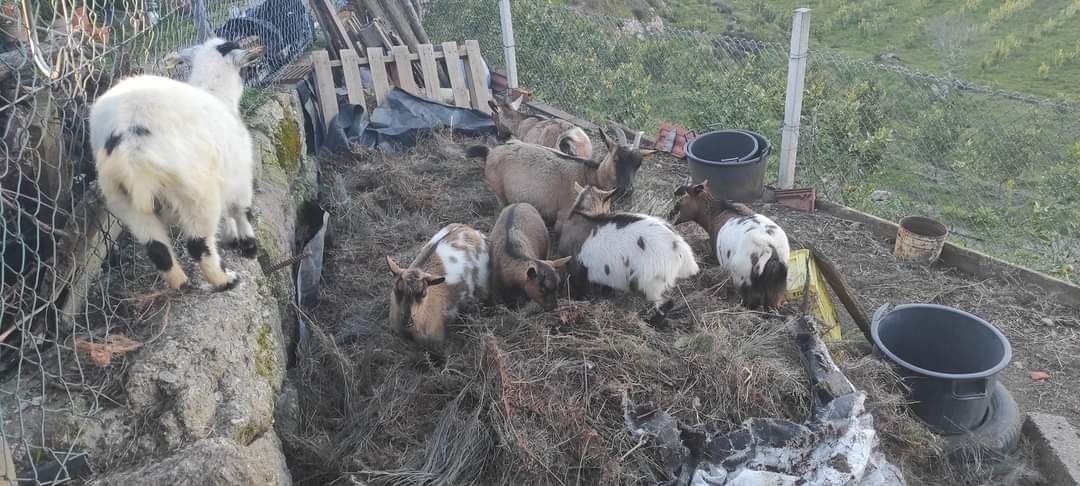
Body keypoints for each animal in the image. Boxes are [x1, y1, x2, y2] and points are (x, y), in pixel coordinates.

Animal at [89, 38, 260, 289]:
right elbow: (240, 211)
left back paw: (182, 284)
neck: (217, 94)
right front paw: (248, 245)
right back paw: (225, 280)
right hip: (197, 192)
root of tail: (130, 144)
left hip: (121, 199)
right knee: (198, 244)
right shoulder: (239, 173)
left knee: (157, 249)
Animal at [466, 126, 652, 231]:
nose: (628, 190)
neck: (590, 175)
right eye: (616, 158)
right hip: (500, 193)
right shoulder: (564, 216)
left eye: (639, 164)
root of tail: (491, 152)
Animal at [557, 182, 699, 321]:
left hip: (652, 283)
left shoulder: (577, 269)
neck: (580, 216)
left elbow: (581, 290)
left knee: (664, 304)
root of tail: (678, 245)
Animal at [665, 180, 794, 308]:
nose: (669, 216)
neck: (716, 214)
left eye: (680, 200)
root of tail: (770, 247)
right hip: (776, 288)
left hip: (744, 281)